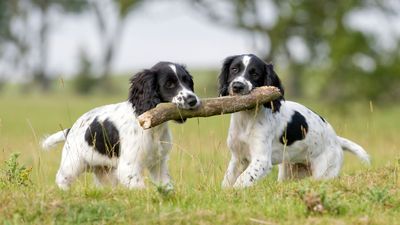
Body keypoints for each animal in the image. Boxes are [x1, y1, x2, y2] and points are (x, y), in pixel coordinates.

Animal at [41, 62, 200, 191]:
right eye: (169, 84)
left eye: (187, 81)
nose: (192, 100)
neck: (154, 128)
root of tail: (71, 129)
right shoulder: (129, 166)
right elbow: (139, 188)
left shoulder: (159, 163)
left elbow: (166, 186)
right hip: (73, 163)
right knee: (62, 178)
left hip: (105, 173)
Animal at [217, 54, 370, 188]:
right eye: (234, 69)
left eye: (255, 74)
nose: (237, 86)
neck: (246, 118)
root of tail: (336, 139)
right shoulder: (238, 158)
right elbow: (228, 180)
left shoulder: (262, 159)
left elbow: (242, 180)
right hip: (288, 172)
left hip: (324, 173)